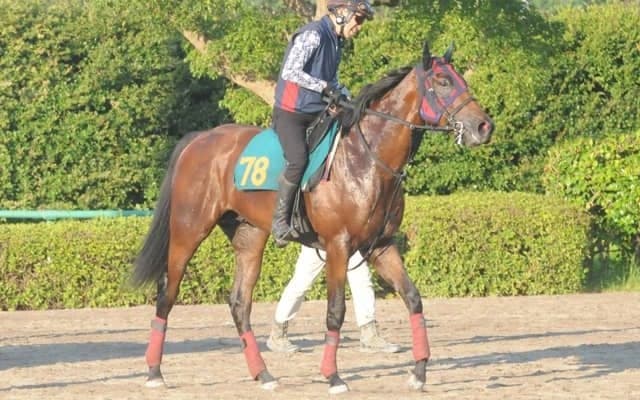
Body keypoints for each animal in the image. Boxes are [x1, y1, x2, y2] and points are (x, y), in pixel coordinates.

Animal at [131, 40, 493, 394]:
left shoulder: (381, 246)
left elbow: (413, 299)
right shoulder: (338, 246)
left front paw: (419, 372)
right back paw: (154, 371)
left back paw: (264, 374)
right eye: (443, 82)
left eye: (461, 79)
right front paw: (333, 377)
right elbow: (335, 312)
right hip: (188, 231)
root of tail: (200, 139)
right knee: (167, 295)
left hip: (249, 237)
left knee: (239, 304)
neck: (367, 159)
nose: (484, 126)